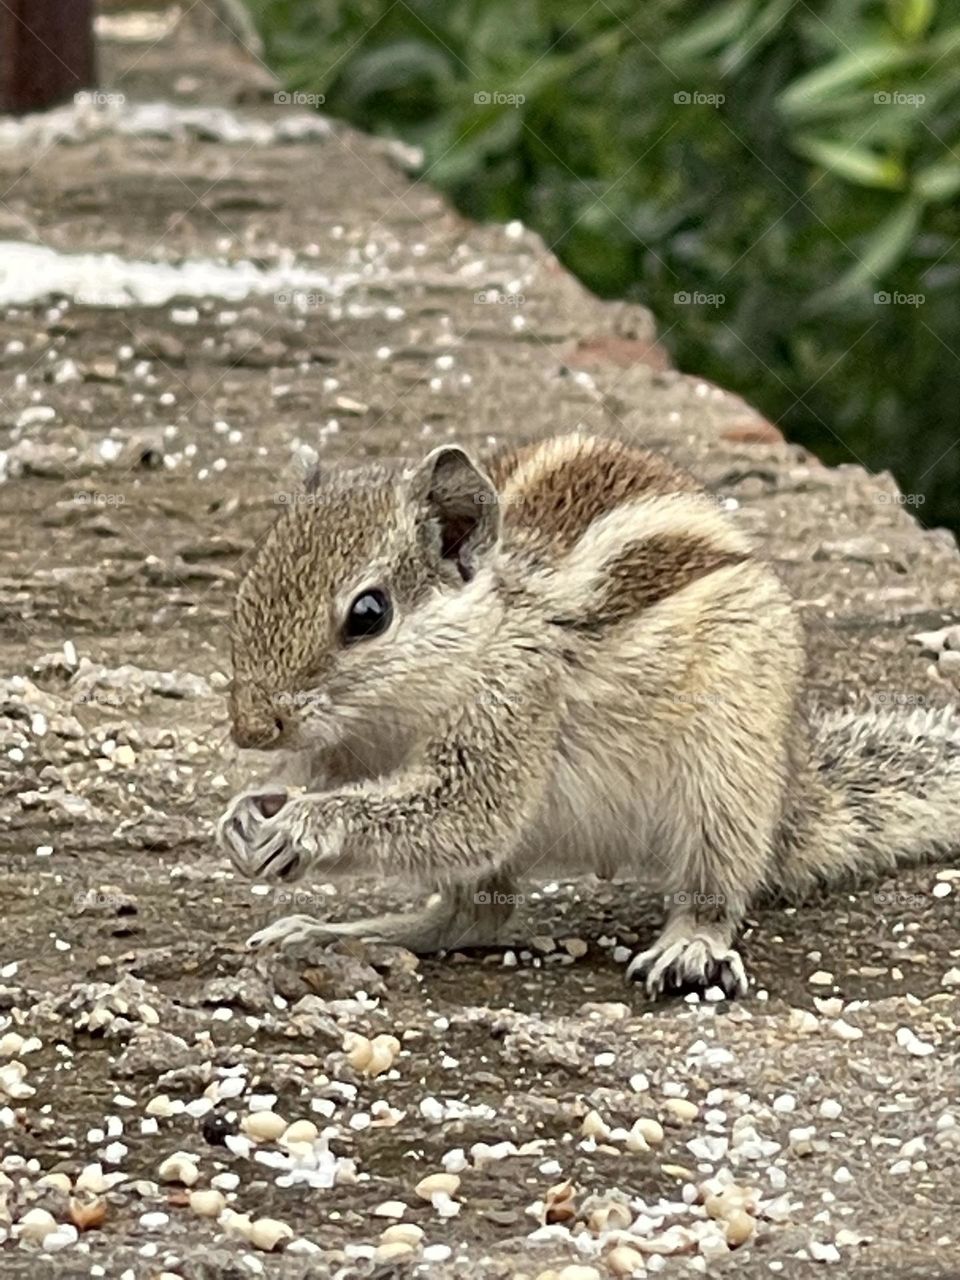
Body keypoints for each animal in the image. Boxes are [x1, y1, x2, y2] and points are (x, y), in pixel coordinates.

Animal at [217, 432, 960, 998]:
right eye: (249, 589)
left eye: (368, 614)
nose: (252, 728)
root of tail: (792, 792)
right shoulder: (350, 753)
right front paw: (247, 812)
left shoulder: (513, 706)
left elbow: (465, 816)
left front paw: (305, 825)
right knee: (471, 919)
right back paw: (341, 932)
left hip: (727, 770)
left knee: (712, 888)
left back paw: (691, 946)